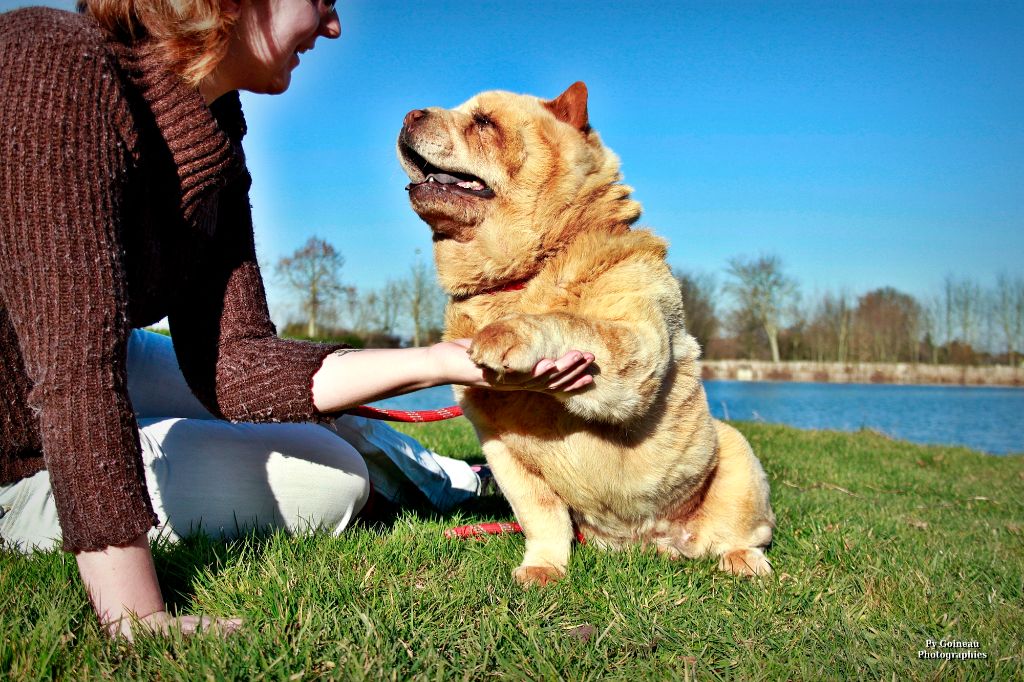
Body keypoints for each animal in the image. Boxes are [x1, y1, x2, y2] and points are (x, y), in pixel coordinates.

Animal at [395, 80, 770, 585]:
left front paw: (508, 335)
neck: (523, 274)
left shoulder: (634, 344)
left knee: (743, 533)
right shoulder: (500, 445)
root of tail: (652, 539)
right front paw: (542, 569)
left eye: (483, 122)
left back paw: (743, 560)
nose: (409, 114)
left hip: (736, 452)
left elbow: (571, 322)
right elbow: (541, 516)